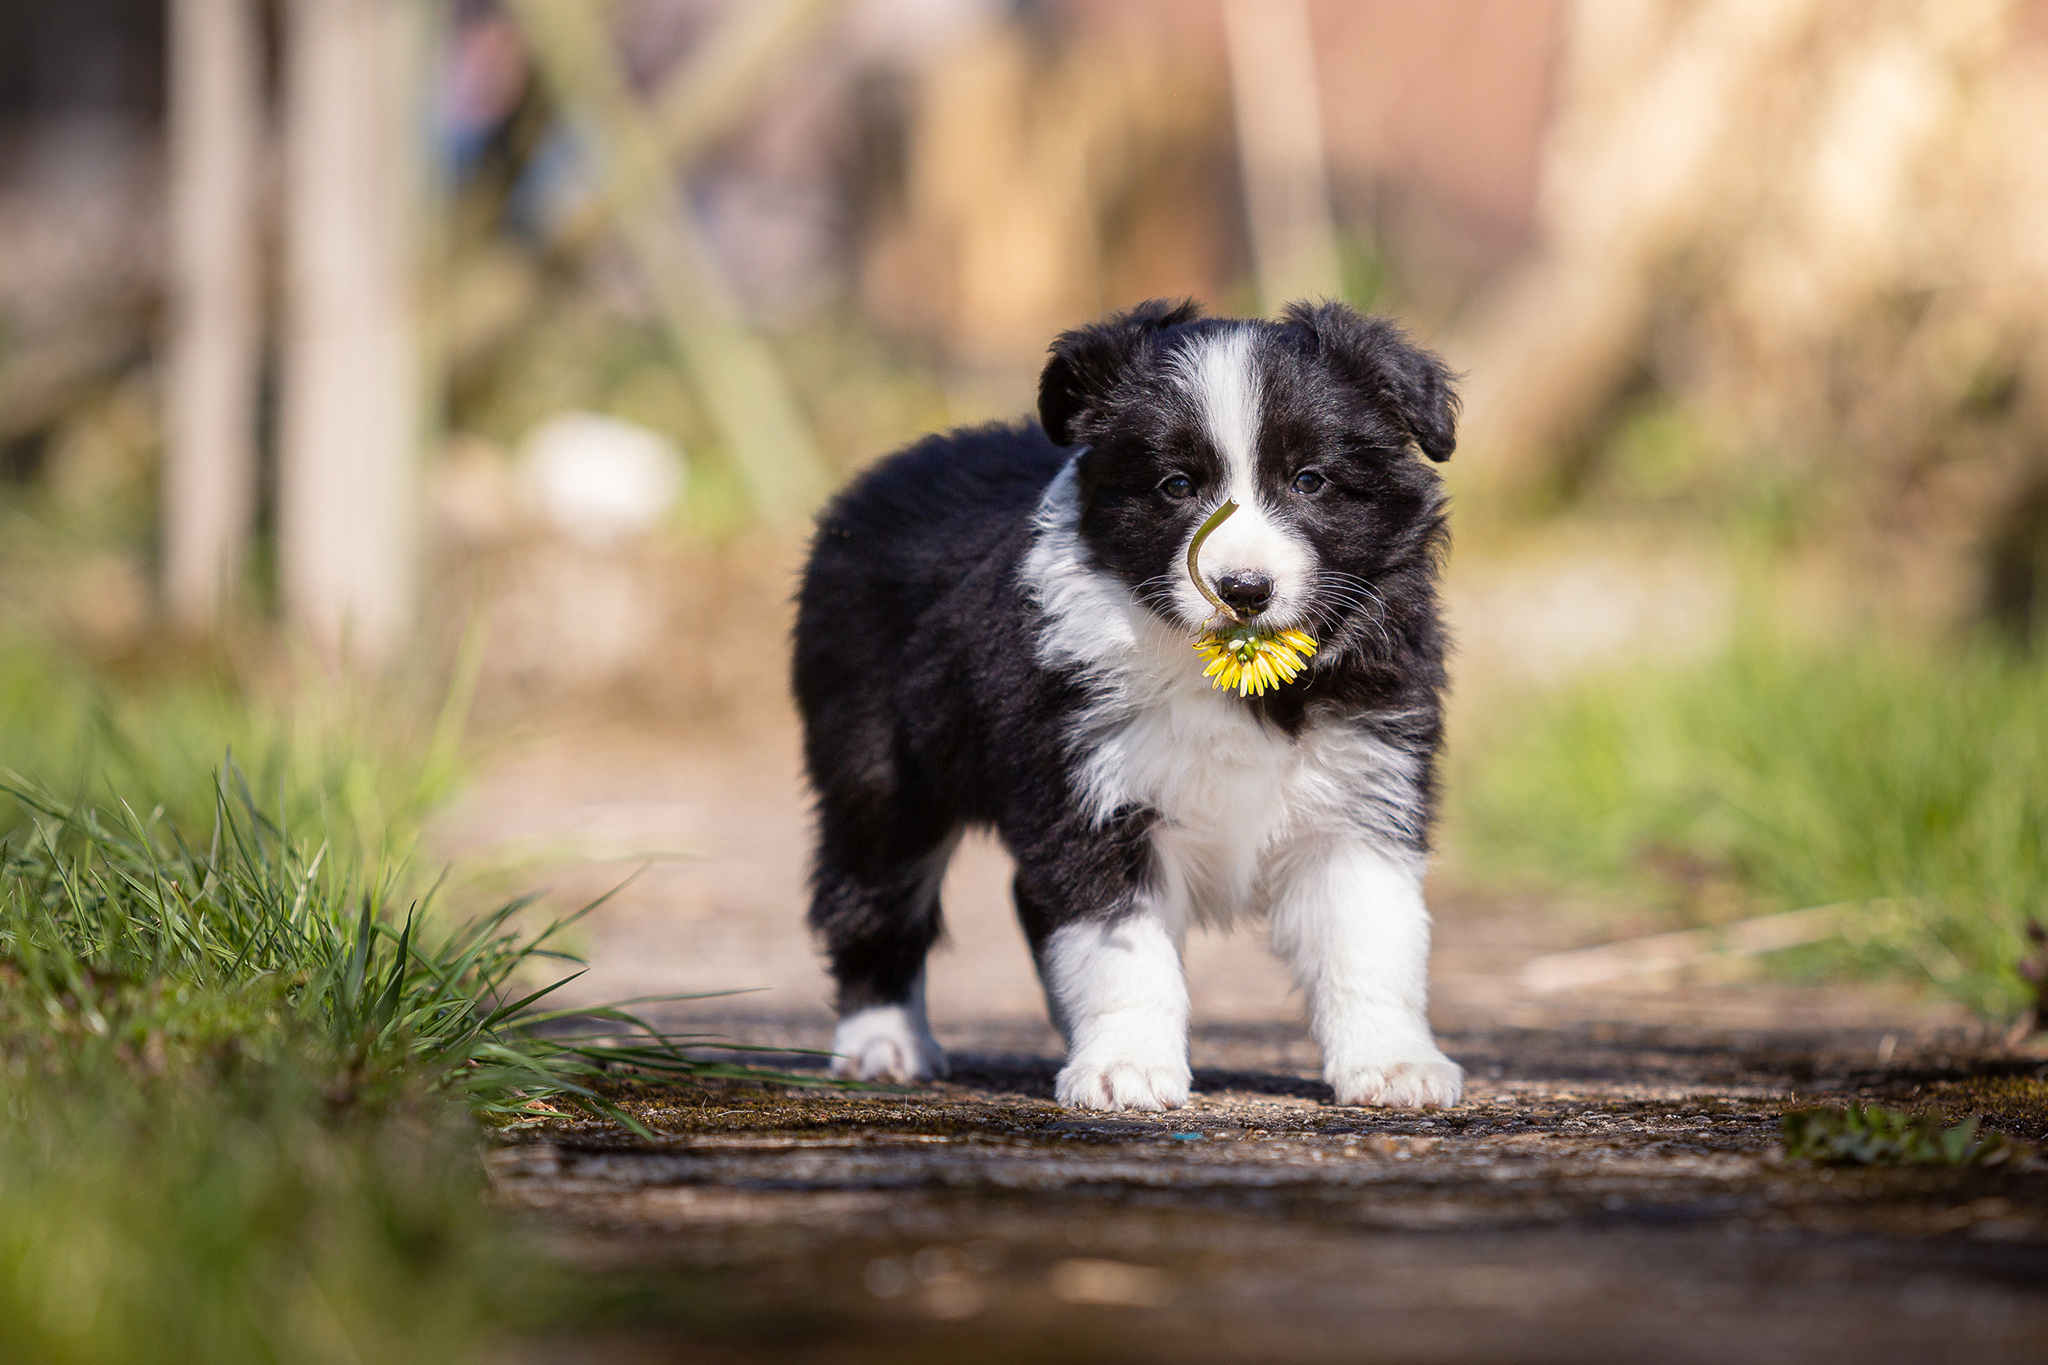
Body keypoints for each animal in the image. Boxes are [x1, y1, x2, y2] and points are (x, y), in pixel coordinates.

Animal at [790, 296, 1466, 1113]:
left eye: (1310, 480)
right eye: (1176, 486)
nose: (1243, 590)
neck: (1224, 675)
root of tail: (882, 476)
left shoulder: (1361, 786)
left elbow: (1370, 940)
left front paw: (1395, 1064)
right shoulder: (1090, 793)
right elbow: (1121, 948)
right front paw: (1126, 1067)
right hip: (881, 769)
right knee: (871, 894)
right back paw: (883, 1041)